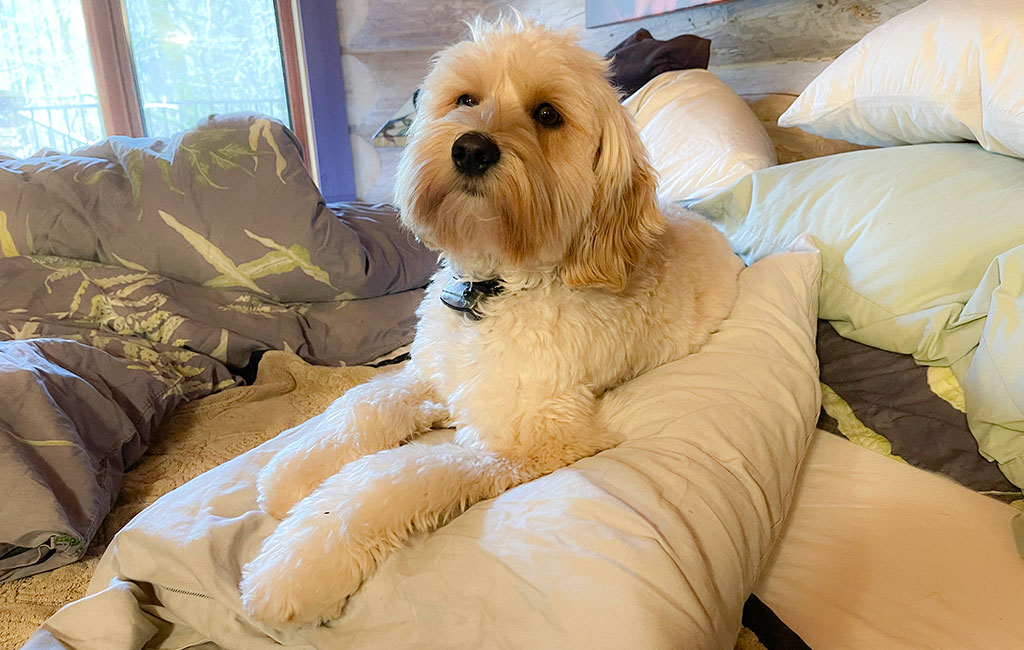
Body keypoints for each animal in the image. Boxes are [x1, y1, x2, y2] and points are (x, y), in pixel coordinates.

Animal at [236, 14, 741, 626]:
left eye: (547, 114)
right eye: (465, 99)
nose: (471, 149)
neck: (493, 289)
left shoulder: (528, 442)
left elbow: (392, 477)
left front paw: (299, 563)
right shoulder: (429, 375)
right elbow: (361, 404)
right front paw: (295, 471)